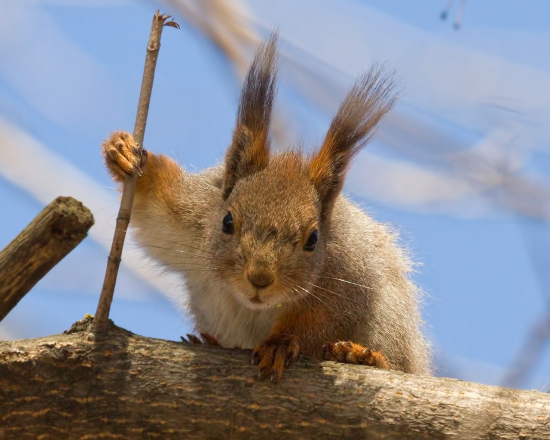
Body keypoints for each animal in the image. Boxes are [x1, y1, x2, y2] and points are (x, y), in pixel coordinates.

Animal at [102, 34, 432, 380]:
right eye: (227, 222)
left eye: (313, 240)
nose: (260, 278)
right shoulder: (191, 216)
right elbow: (153, 213)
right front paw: (124, 152)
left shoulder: (347, 275)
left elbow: (319, 318)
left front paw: (280, 344)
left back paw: (361, 357)